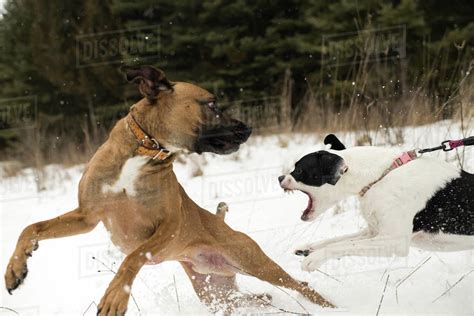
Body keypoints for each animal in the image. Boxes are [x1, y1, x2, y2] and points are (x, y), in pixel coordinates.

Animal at [3, 65, 334, 314]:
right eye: (212, 104)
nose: (248, 128)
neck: (145, 149)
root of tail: (222, 224)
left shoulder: (169, 226)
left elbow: (133, 258)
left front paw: (115, 297)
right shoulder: (87, 216)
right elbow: (32, 227)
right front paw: (16, 268)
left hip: (254, 262)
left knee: (299, 285)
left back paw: (328, 305)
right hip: (214, 292)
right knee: (250, 300)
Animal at [280, 134, 472, 272]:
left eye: (298, 170)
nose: (280, 178)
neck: (379, 176)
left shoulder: (394, 241)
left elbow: (340, 245)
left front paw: (314, 258)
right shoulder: (373, 232)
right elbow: (338, 240)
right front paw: (308, 248)